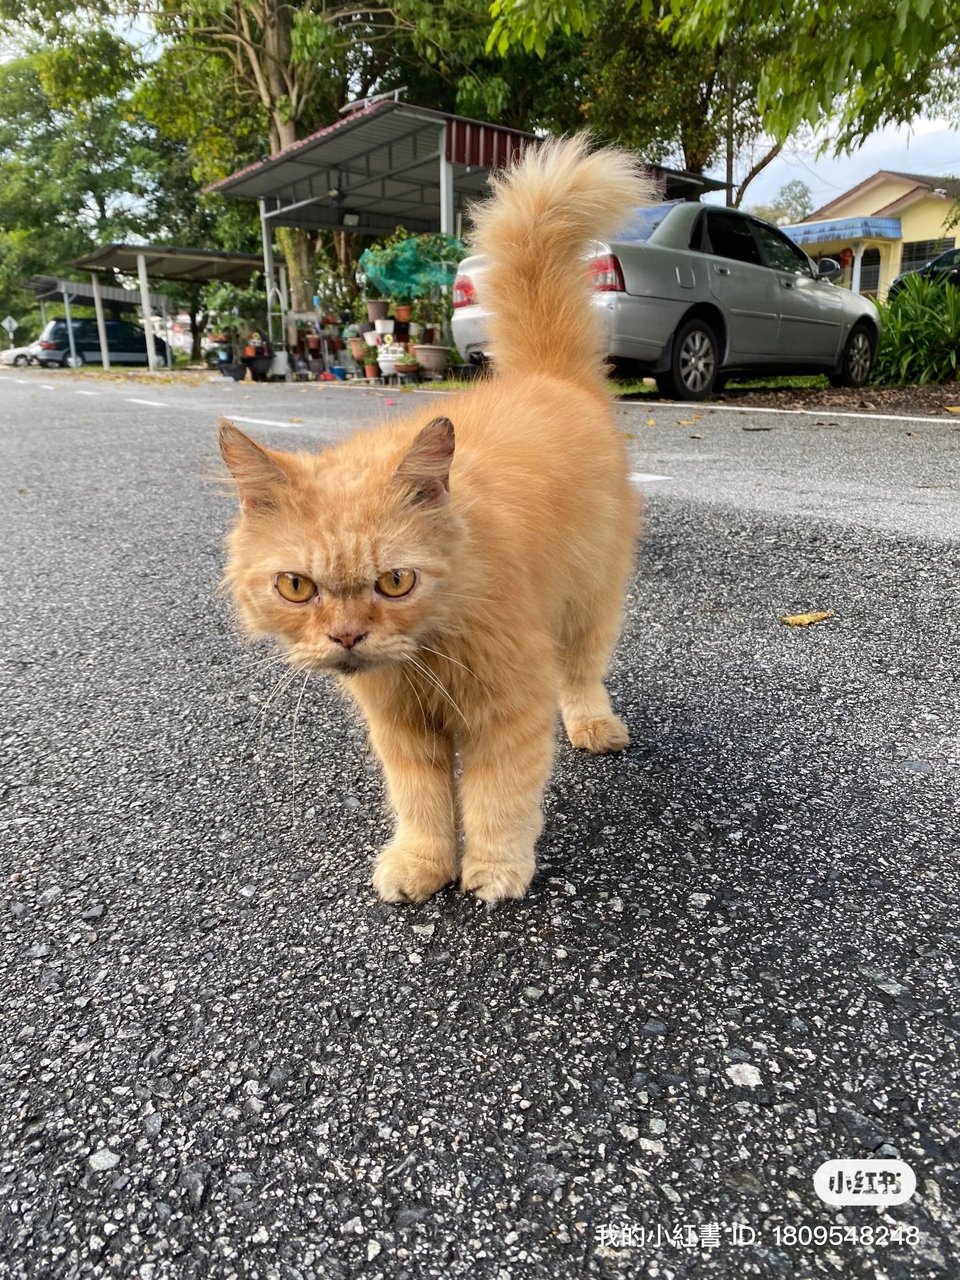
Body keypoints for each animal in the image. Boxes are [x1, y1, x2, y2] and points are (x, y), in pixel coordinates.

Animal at [221, 137, 650, 901]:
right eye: (296, 588)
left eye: (396, 582)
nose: (347, 637)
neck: (423, 656)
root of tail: (546, 377)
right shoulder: (401, 729)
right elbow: (421, 803)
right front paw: (423, 866)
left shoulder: (506, 711)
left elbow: (497, 800)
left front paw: (494, 870)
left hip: (589, 602)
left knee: (581, 674)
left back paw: (594, 725)